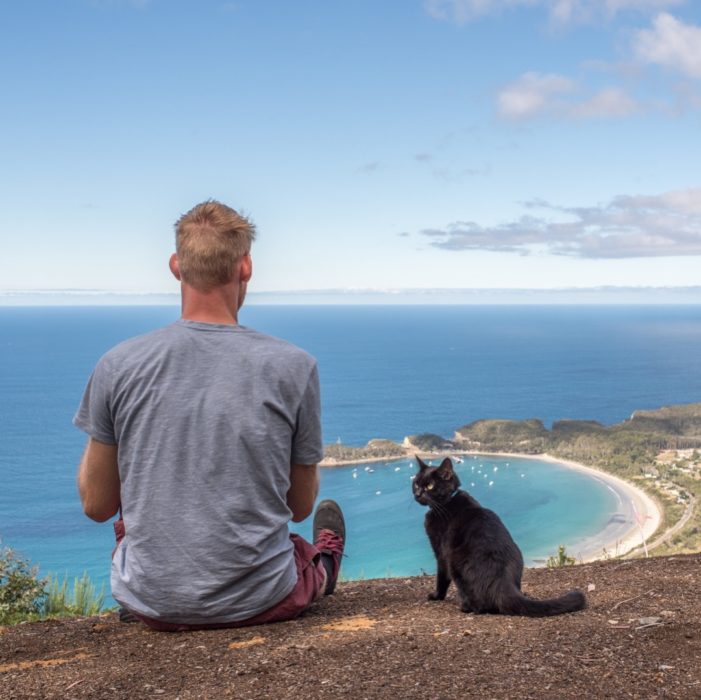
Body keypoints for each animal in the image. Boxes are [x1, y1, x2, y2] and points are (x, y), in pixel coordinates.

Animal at [412, 456, 584, 616]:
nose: (418, 493)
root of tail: (503, 582)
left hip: (455, 561)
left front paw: (436, 596)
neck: (447, 501)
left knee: (480, 606)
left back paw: (465, 607)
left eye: (430, 486)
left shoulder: (441, 553)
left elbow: (441, 578)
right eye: (416, 483)